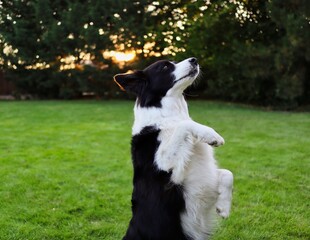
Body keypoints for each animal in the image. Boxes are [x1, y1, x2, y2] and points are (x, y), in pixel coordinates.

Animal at [114, 57, 232, 239]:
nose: (194, 59)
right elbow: (184, 124)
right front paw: (211, 135)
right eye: (164, 66)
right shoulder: (163, 168)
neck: (168, 116)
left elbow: (228, 173)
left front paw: (224, 207)